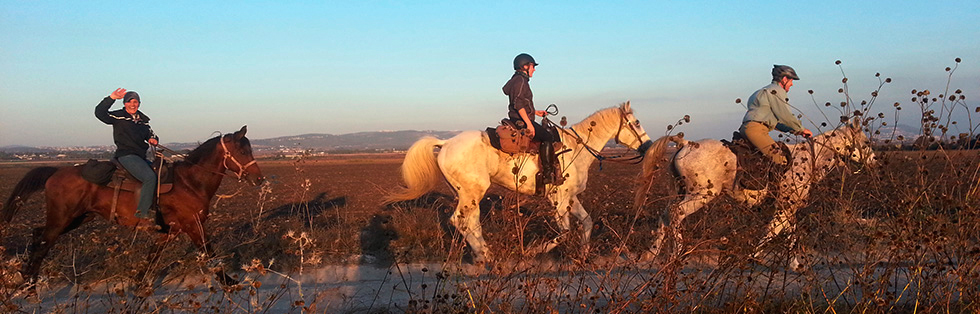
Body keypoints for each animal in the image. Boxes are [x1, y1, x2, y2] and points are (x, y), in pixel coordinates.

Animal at [0, 124, 264, 284]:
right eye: (243, 151)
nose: (259, 179)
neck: (190, 182)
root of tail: (56, 171)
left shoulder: (169, 231)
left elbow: (152, 258)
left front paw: (138, 283)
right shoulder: (193, 225)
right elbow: (209, 253)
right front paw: (228, 282)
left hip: (77, 218)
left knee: (38, 235)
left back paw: (28, 277)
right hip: (62, 218)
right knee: (44, 242)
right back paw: (29, 282)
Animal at [384, 101, 672, 262]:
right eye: (636, 122)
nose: (648, 146)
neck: (577, 148)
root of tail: (444, 143)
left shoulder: (571, 198)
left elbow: (587, 222)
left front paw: (583, 255)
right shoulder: (559, 200)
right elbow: (564, 232)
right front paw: (535, 252)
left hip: (470, 195)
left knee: (471, 223)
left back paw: (483, 255)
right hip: (471, 193)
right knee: (460, 222)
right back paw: (485, 255)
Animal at [644, 118, 880, 268]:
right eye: (866, 142)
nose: (874, 162)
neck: (809, 159)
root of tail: (686, 144)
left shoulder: (788, 206)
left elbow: (790, 233)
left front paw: (795, 263)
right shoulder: (785, 206)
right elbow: (773, 231)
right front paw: (752, 257)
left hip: (684, 193)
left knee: (665, 215)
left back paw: (652, 253)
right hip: (700, 196)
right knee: (675, 213)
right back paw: (677, 252)